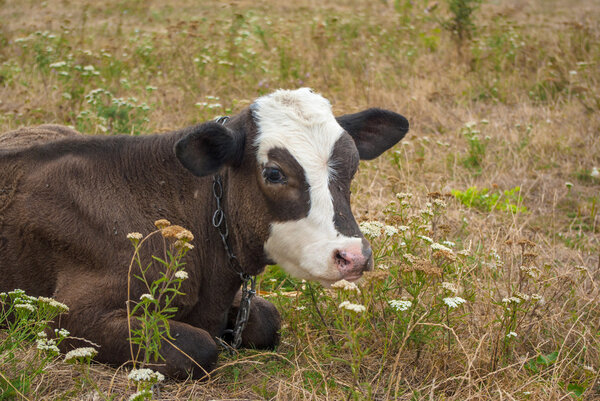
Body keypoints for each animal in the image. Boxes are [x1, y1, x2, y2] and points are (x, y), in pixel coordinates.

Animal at [0, 88, 408, 378]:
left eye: (353, 165)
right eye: (274, 173)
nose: (353, 256)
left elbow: (267, 320)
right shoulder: (66, 317)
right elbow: (198, 347)